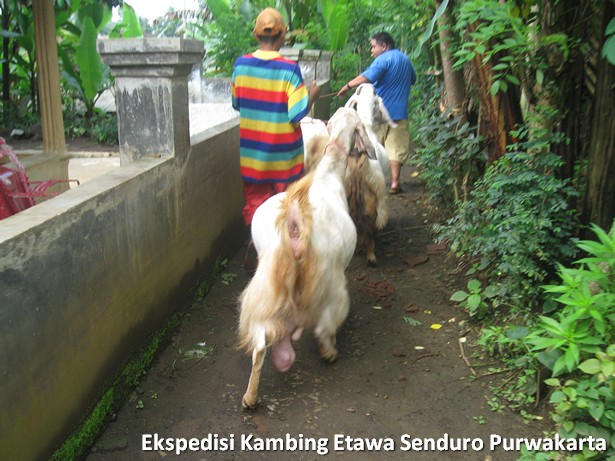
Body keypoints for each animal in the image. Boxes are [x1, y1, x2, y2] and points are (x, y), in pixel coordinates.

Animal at [239, 110, 376, 406]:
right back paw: (329, 352)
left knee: (259, 346)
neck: (328, 174)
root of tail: (295, 222)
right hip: (331, 280)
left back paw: (250, 397)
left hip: (269, 278)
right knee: (324, 327)